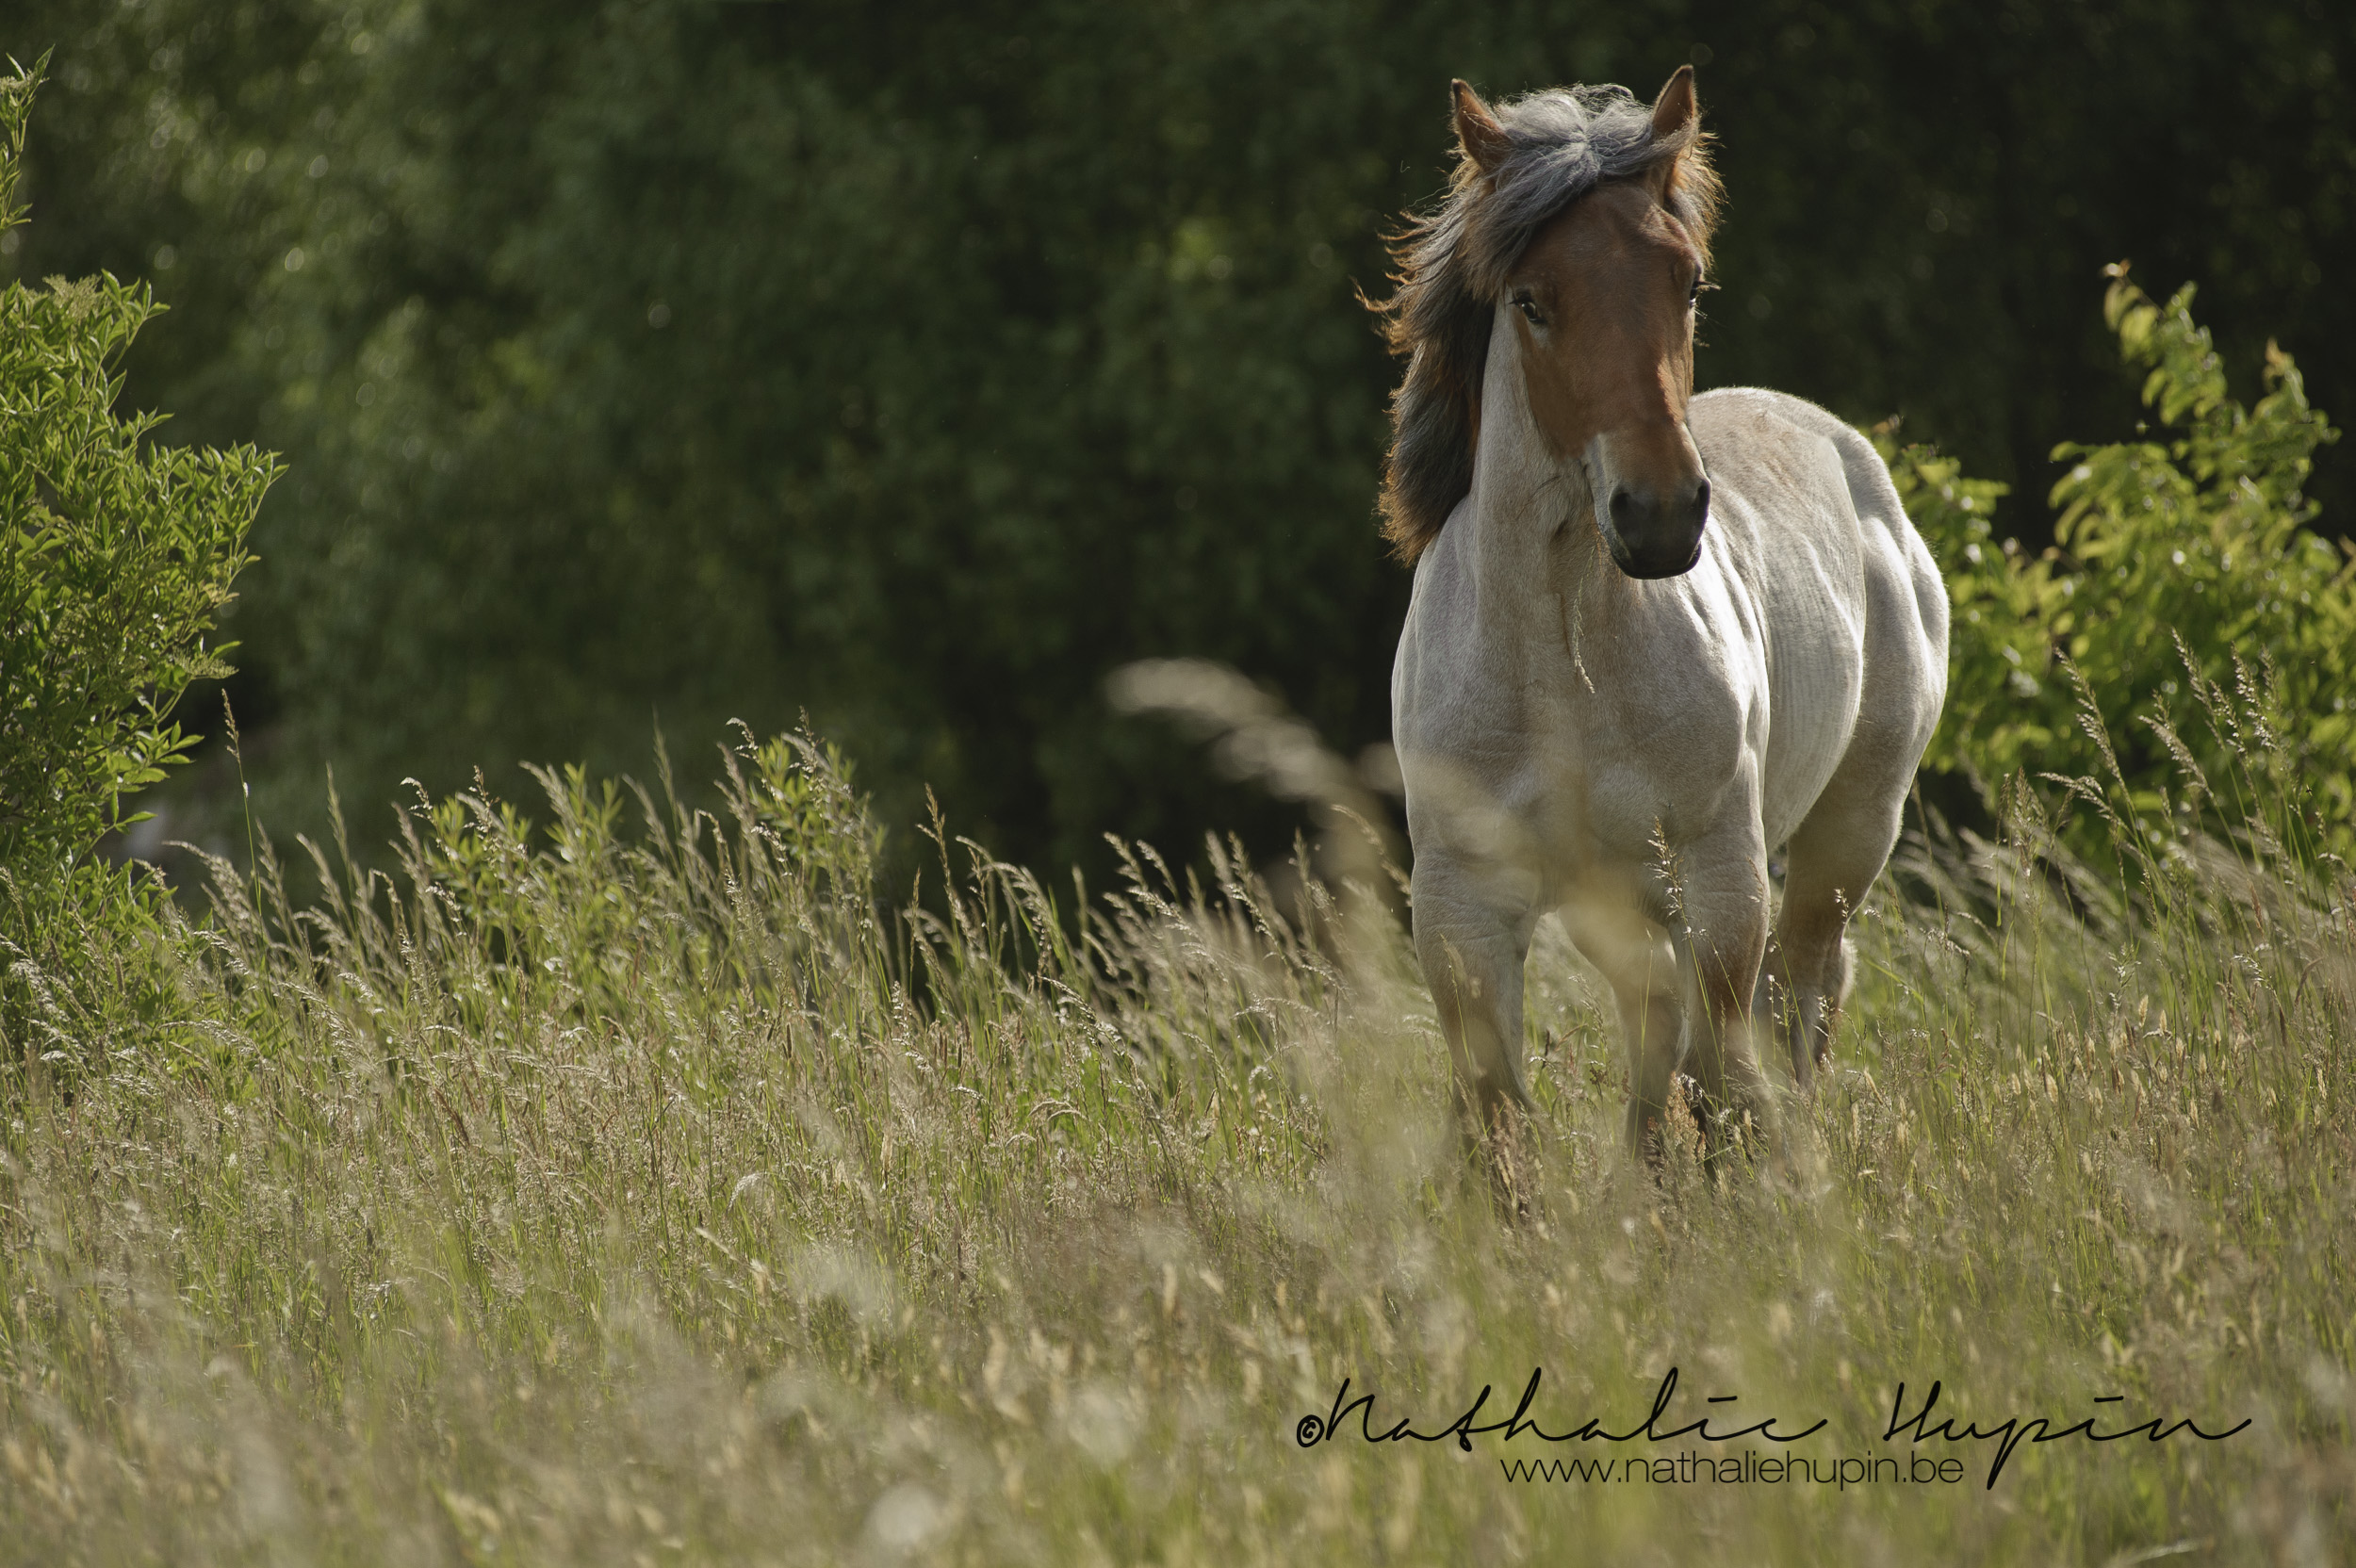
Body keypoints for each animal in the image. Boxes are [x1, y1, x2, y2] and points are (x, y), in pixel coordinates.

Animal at [1376, 67, 1951, 1158]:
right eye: (1531, 301)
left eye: (1687, 283)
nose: (1662, 513)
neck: (1563, 665)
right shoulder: (1462, 914)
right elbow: (1501, 1118)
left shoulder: (1717, 882)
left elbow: (1726, 1081)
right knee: (1662, 1033)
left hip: (1842, 844)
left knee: (1797, 998)